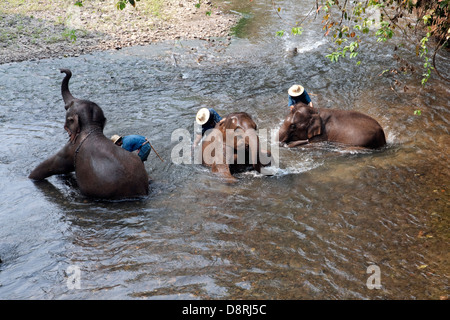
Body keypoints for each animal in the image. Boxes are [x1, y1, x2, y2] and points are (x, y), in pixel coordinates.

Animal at [28, 70, 149, 200]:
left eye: (68, 106)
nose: (62, 70)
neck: (91, 129)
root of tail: (142, 191)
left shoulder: (70, 149)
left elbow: (51, 165)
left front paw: (30, 177)